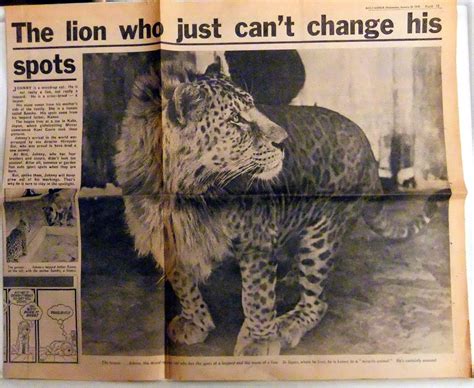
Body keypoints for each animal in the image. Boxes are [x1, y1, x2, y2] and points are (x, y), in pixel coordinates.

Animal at [115, 56, 444, 356]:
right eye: (237, 121)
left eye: (253, 108)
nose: (283, 141)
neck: (187, 192)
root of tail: (370, 152)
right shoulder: (166, 234)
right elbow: (183, 284)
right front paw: (195, 321)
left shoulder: (256, 237)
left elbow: (257, 295)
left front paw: (258, 342)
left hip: (322, 235)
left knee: (317, 301)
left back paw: (286, 323)